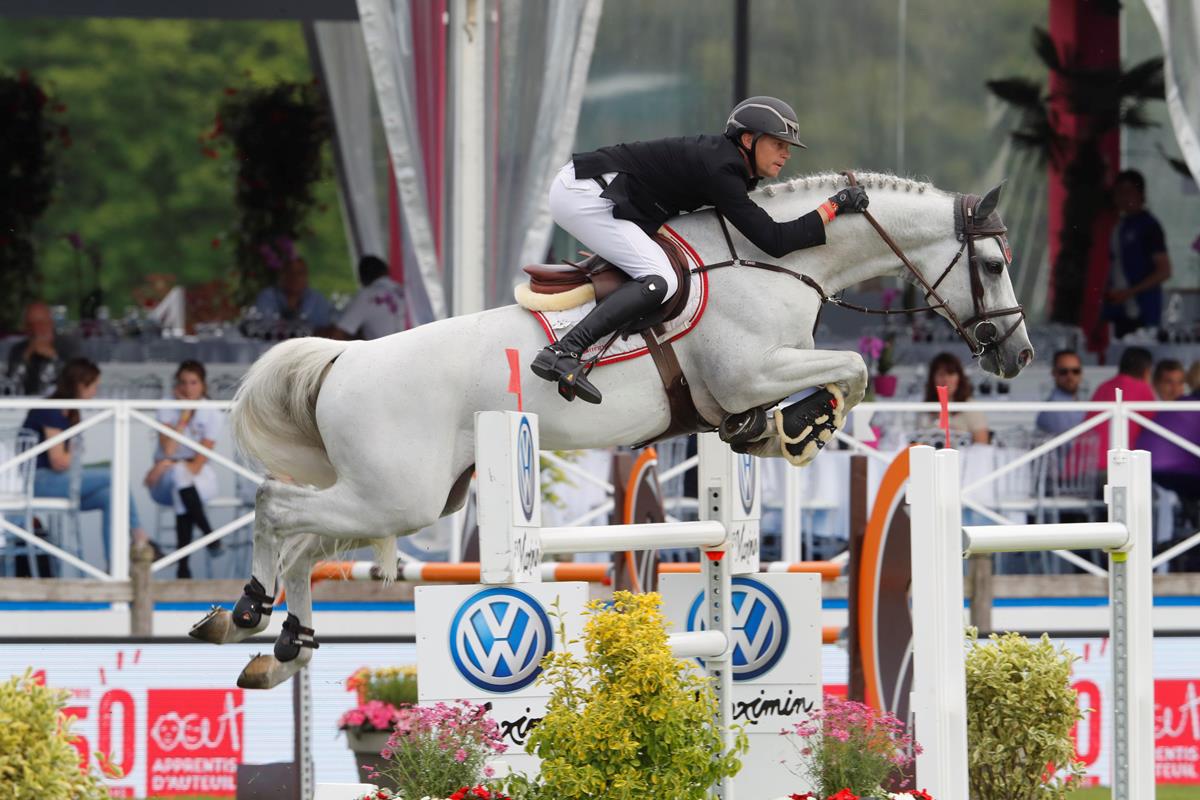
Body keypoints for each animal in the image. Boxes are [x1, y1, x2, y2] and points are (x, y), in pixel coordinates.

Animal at [189, 173, 1032, 690]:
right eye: (992, 264)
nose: (1017, 354)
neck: (772, 261)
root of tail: (344, 360)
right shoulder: (750, 371)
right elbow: (851, 367)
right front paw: (798, 427)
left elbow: (842, 373)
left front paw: (775, 432)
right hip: (395, 497)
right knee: (275, 510)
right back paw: (246, 613)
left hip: (404, 499)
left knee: (303, 544)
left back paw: (280, 647)